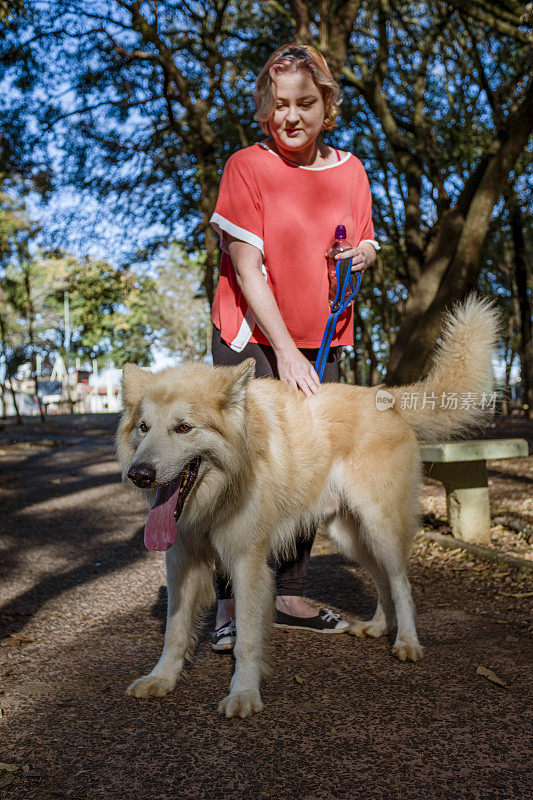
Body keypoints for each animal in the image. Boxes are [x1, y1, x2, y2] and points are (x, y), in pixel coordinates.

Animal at [117, 296, 498, 720]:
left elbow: (248, 640)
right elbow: (175, 631)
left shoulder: (248, 564)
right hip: (351, 537)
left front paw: (244, 693)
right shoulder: (182, 560)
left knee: (401, 585)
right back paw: (379, 627)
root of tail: (384, 396)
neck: (220, 490)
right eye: (144, 427)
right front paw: (162, 678)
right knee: (382, 581)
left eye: (183, 428)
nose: (140, 475)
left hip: (379, 527)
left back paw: (407, 643)